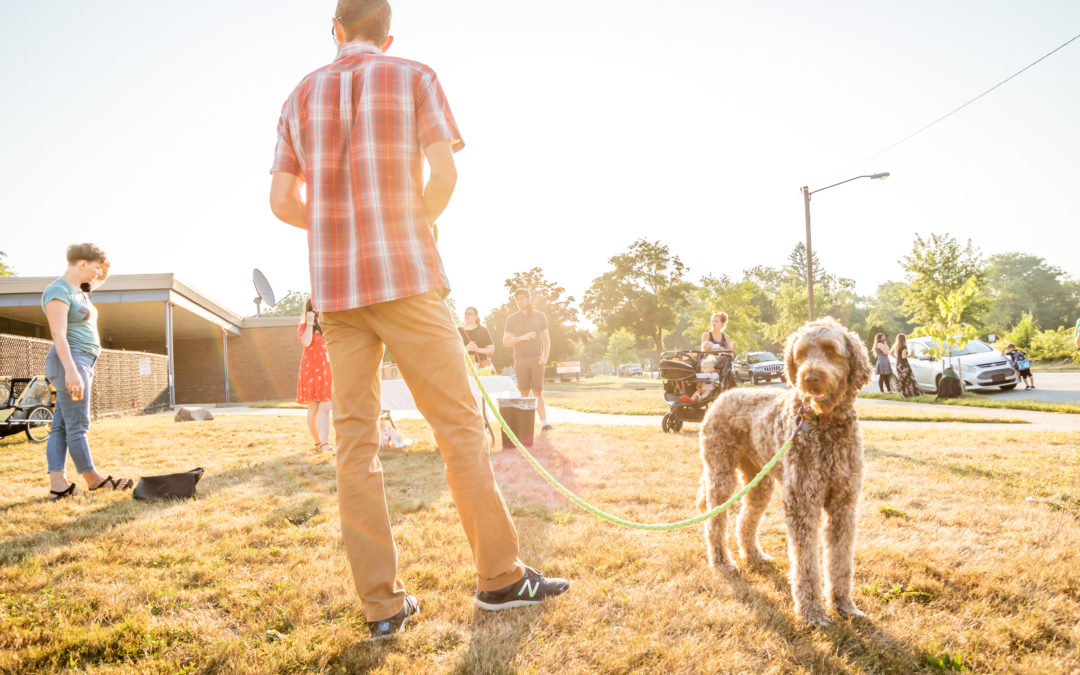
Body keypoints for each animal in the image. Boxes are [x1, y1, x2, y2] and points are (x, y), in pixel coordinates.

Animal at [695, 317, 872, 626]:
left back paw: (754, 554)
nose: (809, 378)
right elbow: (806, 565)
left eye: (830, 350)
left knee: (745, 519)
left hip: (759, 481)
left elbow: (841, 561)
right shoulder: (802, 504)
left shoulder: (844, 504)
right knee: (715, 521)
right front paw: (812, 612)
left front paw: (844, 605)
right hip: (721, 474)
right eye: (801, 353)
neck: (823, 423)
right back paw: (722, 561)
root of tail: (722, 395)